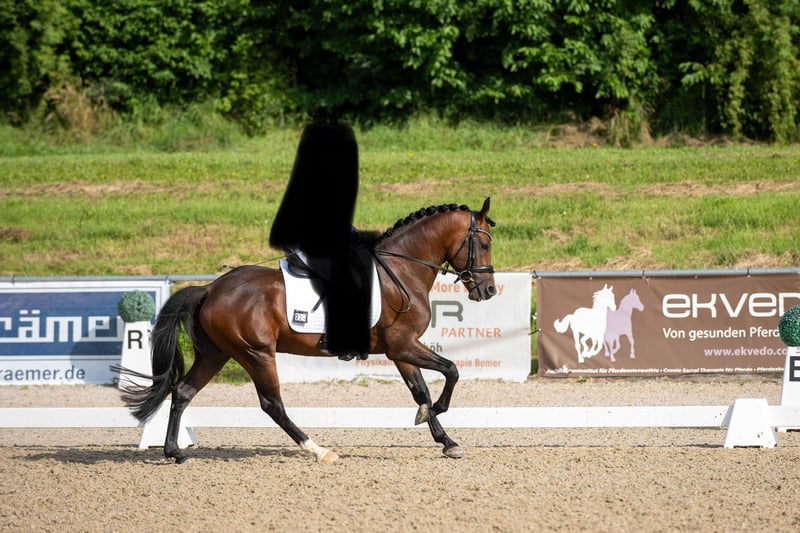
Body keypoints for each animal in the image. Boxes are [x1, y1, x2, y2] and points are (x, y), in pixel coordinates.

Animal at [117, 198, 497, 464]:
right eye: (486, 244)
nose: (489, 291)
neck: (400, 271)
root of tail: (210, 289)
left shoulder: (401, 349)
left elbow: (420, 391)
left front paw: (445, 440)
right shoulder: (402, 345)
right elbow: (451, 371)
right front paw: (437, 414)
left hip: (217, 353)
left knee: (182, 391)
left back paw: (174, 451)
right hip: (255, 353)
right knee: (272, 404)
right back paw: (318, 450)